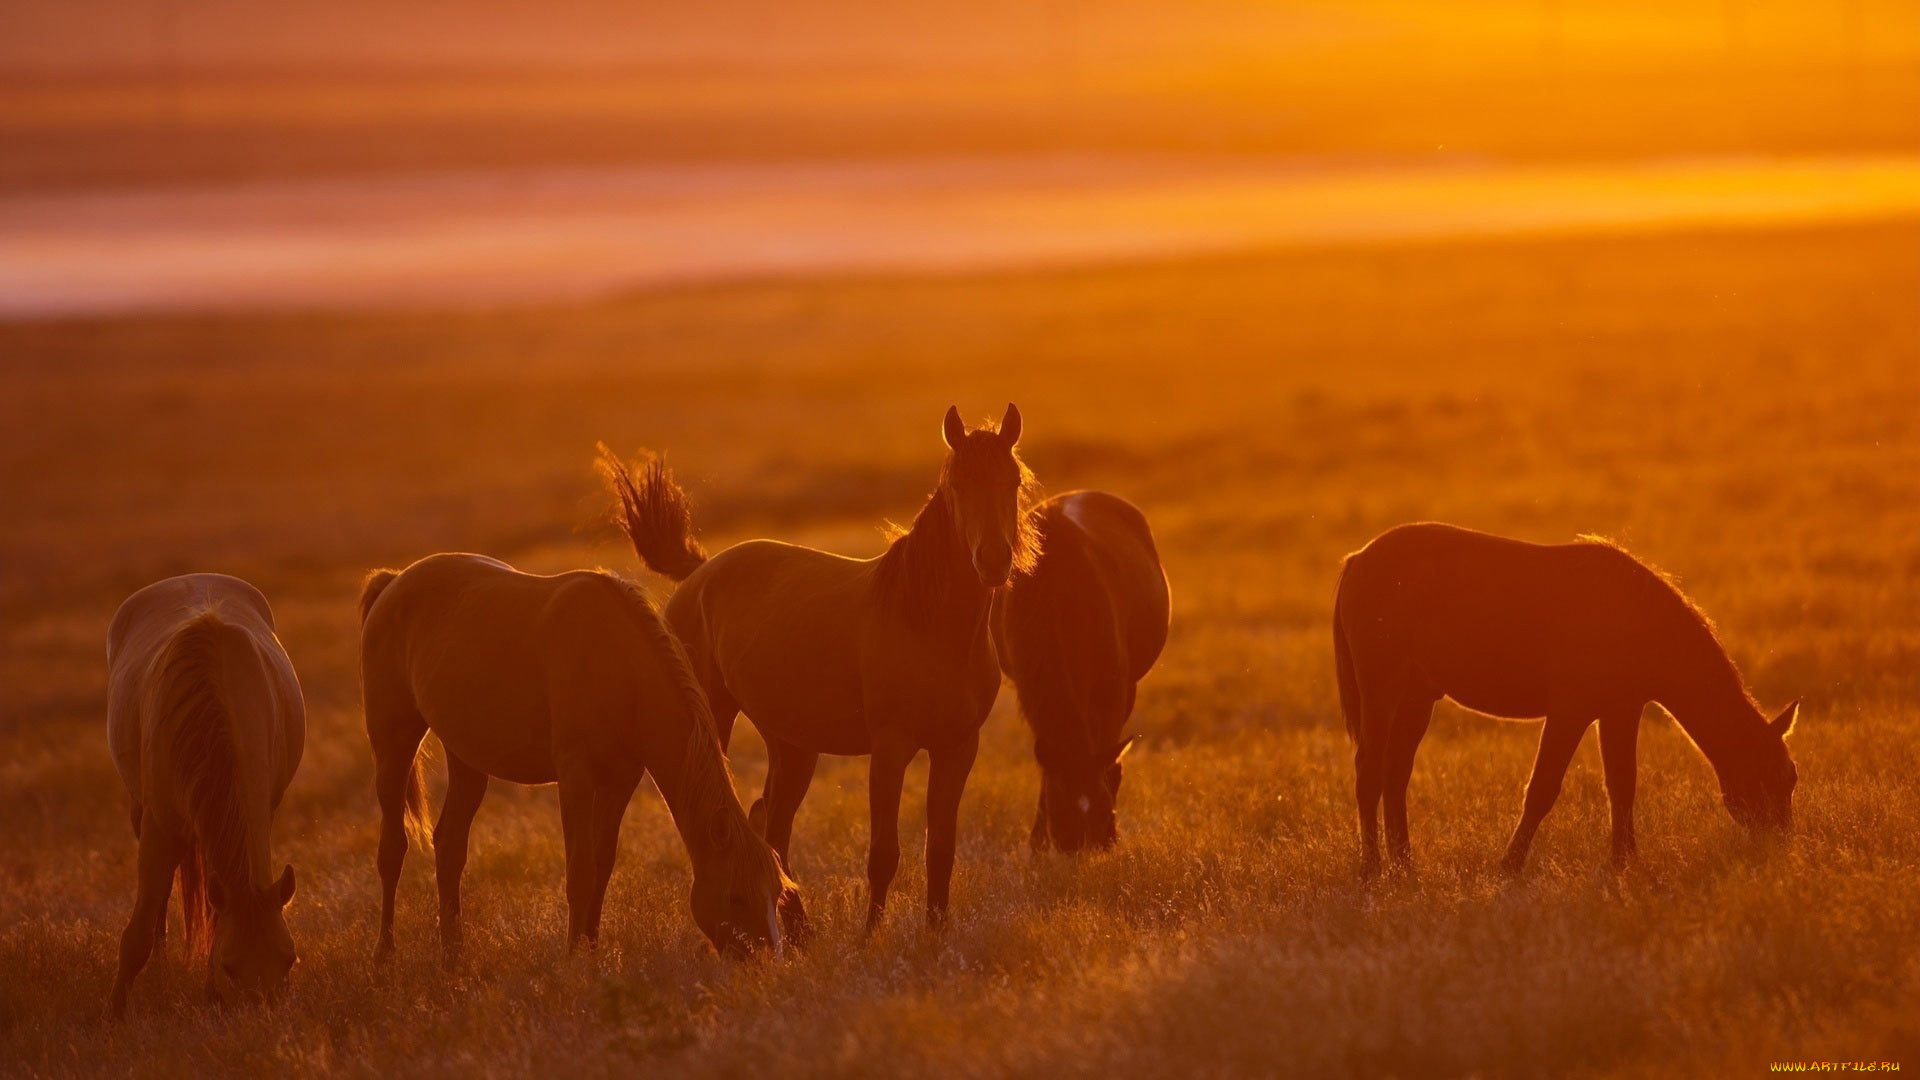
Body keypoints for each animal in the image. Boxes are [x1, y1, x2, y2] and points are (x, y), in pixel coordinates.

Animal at [106, 576, 303, 1014]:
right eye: (231, 966)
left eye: (289, 959)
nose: (264, 1014)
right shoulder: (159, 825)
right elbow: (137, 932)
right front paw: (115, 1014)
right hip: (141, 813)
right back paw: (161, 964)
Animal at [357, 549, 798, 960]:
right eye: (737, 895)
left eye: (775, 893)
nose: (764, 960)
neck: (620, 667)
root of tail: (393, 582)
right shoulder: (575, 778)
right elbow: (580, 871)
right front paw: (573, 958)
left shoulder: (622, 778)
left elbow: (602, 864)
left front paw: (591, 946)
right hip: (393, 745)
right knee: (393, 848)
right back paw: (384, 955)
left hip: (467, 759)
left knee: (449, 846)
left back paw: (454, 955)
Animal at [606, 403, 1044, 926]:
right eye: (958, 482)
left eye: (1013, 481)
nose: (994, 561)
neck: (930, 626)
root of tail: (700, 573)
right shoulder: (891, 747)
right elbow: (884, 854)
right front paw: (870, 936)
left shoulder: (958, 747)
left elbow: (940, 850)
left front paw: (935, 935)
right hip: (718, 718)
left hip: (792, 744)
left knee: (772, 823)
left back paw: (800, 928)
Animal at [990, 488, 1167, 849]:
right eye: (1061, 813)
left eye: (1102, 811)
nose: (1083, 845)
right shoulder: (1028, 688)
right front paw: (1037, 840)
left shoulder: (1114, 686)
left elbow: (1108, 748)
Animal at [1336, 522, 1797, 876]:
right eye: (1776, 776)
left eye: (1790, 777)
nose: (1782, 847)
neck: (1639, 618)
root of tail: (1358, 558)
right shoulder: (1570, 711)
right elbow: (1543, 787)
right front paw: (1510, 866)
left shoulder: (1621, 711)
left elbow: (1623, 784)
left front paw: (1623, 863)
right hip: (1382, 688)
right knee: (1369, 770)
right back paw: (1372, 869)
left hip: (1416, 698)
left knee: (1396, 774)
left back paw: (1405, 866)